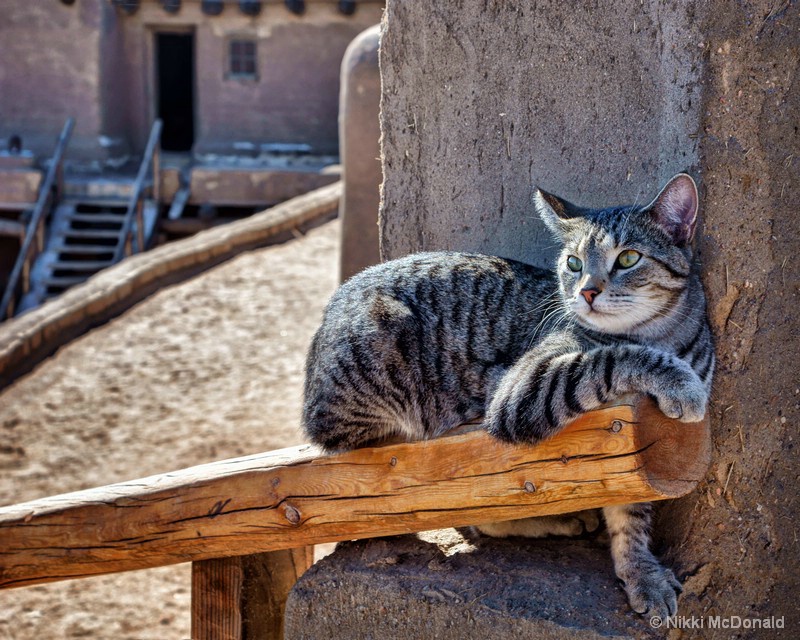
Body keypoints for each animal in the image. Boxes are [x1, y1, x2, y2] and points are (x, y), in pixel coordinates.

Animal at [304, 172, 716, 616]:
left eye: (628, 259)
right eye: (573, 263)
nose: (586, 292)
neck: (661, 335)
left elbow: (632, 513)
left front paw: (642, 573)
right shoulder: (523, 387)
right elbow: (613, 356)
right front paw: (678, 381)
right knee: (463, 507)